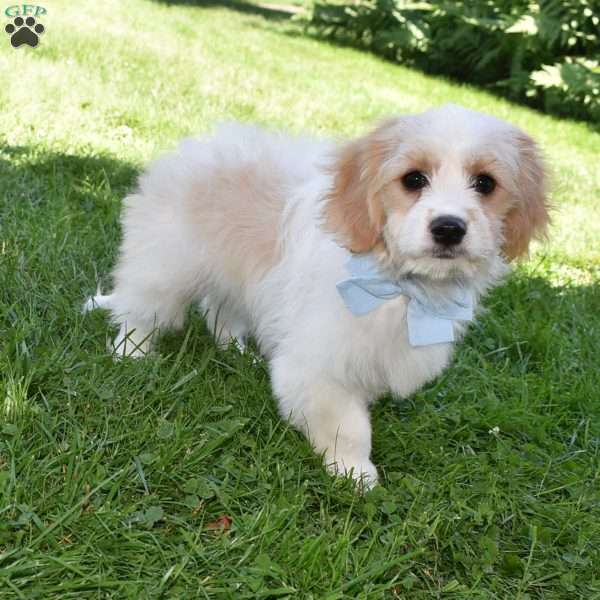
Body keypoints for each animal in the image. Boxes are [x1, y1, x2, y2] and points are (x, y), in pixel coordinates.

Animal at [84, 104, 548, 488]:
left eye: (485, 184)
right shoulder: (319, 367)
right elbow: (348, 426)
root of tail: (190, 149)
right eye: (413, 179)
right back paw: (131, 353)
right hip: (165, 265)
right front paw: (354, 472)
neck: (398, 284)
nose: (449, 227)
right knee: (141, 310)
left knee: (221, 310)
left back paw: (236, 350)